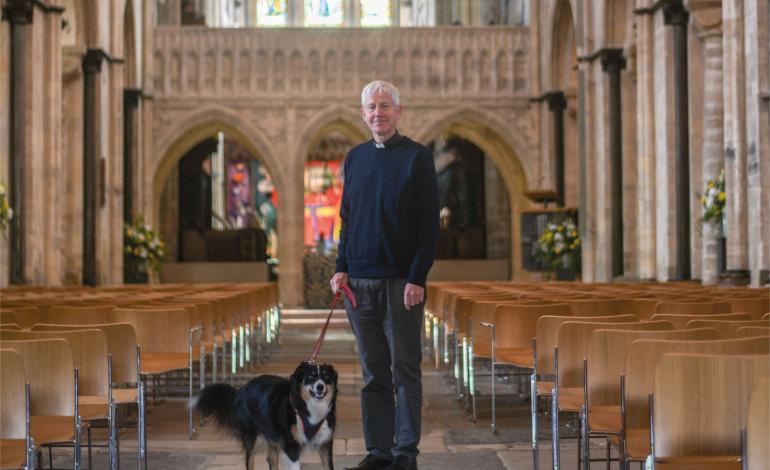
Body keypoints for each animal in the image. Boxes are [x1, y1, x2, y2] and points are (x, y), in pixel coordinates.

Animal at [192, 362, 336, 468]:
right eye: (310, 377)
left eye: (326, 377)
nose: (320, 387)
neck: (309, 406)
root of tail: (241, 390)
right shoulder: (291, 446)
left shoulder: (325, 443)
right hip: (252, 436)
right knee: (249, 460)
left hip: (272, 433)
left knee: (271, 458)